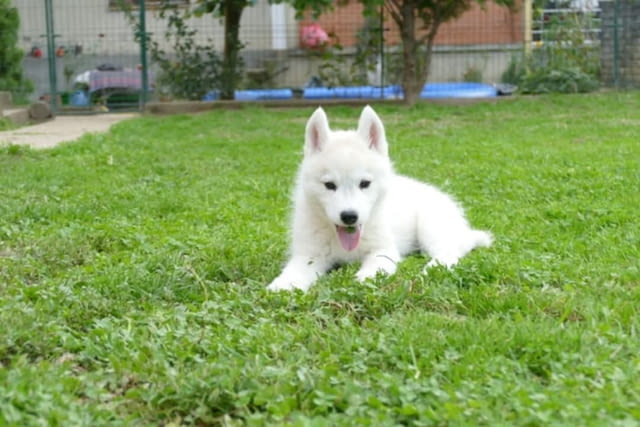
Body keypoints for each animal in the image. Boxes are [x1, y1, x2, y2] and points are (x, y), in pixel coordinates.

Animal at [268, 105, 492, 292]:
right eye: (329, 185)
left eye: (364, 183)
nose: (349, 216)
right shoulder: (309, 255)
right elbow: (294, 271)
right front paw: (282, 285)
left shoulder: (383, 251)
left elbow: (372, 270)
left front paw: (362, 281)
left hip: (431, 227)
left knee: (450, 251)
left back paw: (431, 270)